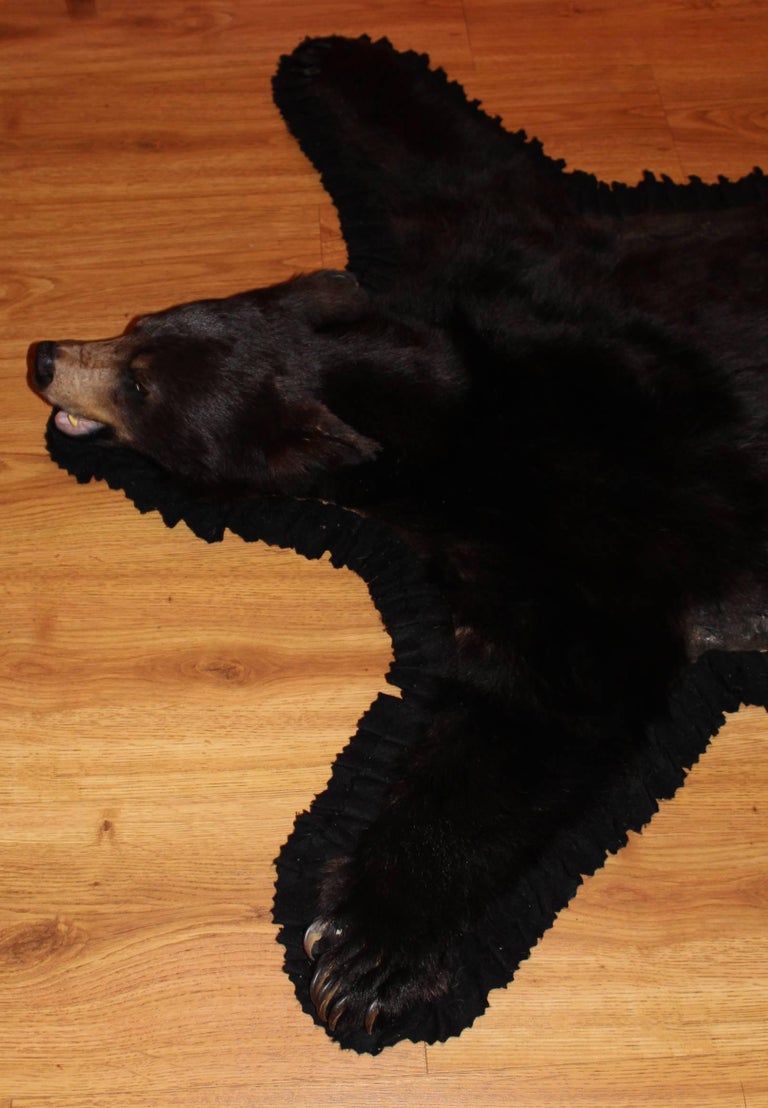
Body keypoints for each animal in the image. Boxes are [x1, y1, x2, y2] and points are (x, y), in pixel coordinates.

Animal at [31, 35, 768, 1038]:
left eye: (142, 383)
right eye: (134, 321)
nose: (42, 358)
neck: (444, 420)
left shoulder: (594, 527)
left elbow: (548, 702)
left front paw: (364, 952)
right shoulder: (515, 277)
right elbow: (466, 179)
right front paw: (340, 61)